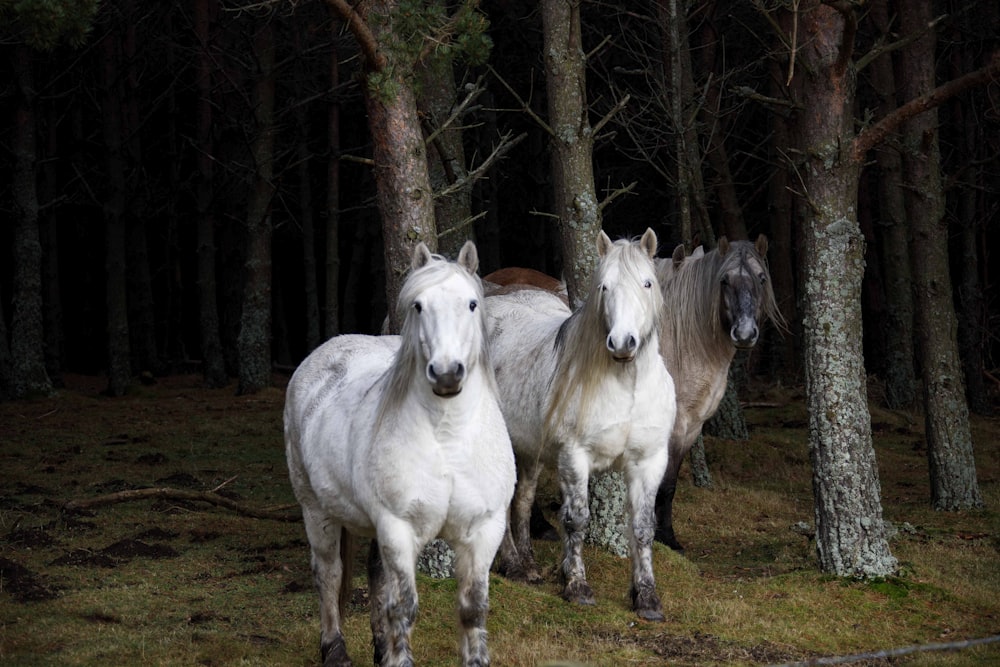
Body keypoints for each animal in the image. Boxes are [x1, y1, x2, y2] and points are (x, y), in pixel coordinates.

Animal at [284, 243, 512, 667]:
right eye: (418, 306)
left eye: (472, 304)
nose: (446, 374)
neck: (448, 439)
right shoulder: (399, 528)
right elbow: (403, 607)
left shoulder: (483, 531)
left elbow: (473, 609)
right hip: (316, 510)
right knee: (328, 573)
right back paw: (334, 650)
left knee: (375, 574)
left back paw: (379, 648)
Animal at [486, 228, 676, 620]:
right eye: (604, 286)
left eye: (647, 283)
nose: (622, 343)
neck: (627, 385)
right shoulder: (575, 457)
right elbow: (576, 519)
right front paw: (576, 585)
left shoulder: (648, 461)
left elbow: (642, 527)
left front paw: (647, 598)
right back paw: (513, 565)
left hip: (528, 450)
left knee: (523, 500)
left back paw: (529, 566)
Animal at [652, 236, 784, 552]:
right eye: (724, 280)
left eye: (761, 278)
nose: (745, 334)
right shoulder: (672, 424)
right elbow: (662, 481)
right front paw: (662, 538)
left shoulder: (691, 426)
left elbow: (669, 483)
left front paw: (664, 535)